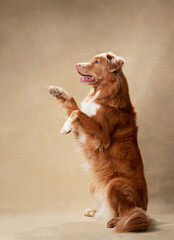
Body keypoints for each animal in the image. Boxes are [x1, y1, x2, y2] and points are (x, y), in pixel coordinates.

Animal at [48, 51, 150, 232]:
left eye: (96, 61)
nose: (76, 64)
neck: (102, 93)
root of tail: (145, 209)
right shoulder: (83, 132)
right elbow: (73, 105)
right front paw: (57, 91)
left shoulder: (101, 137)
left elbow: (77, 113)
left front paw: (65, 127)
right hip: (94, 183)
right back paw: (96, 211)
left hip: (115, 183)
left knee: (127, 212)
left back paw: (115, 221)